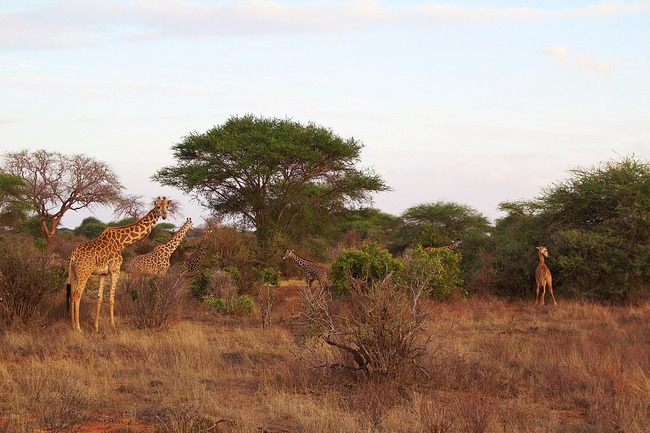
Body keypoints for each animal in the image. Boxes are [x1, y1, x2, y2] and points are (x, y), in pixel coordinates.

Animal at [66, 196, 170, 330]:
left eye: (167, 206)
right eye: (158, 206)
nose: (165, 215)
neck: (122, 242)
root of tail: (73, 256)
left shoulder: (103, 273)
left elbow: (100, 298)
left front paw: (96, 327)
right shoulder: (115, 270)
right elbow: (111, 299)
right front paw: (113, 325)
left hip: (73, 273)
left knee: (72, 294)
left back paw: (72, 324)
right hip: (84, 273)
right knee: (77, 294)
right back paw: (78, 327)